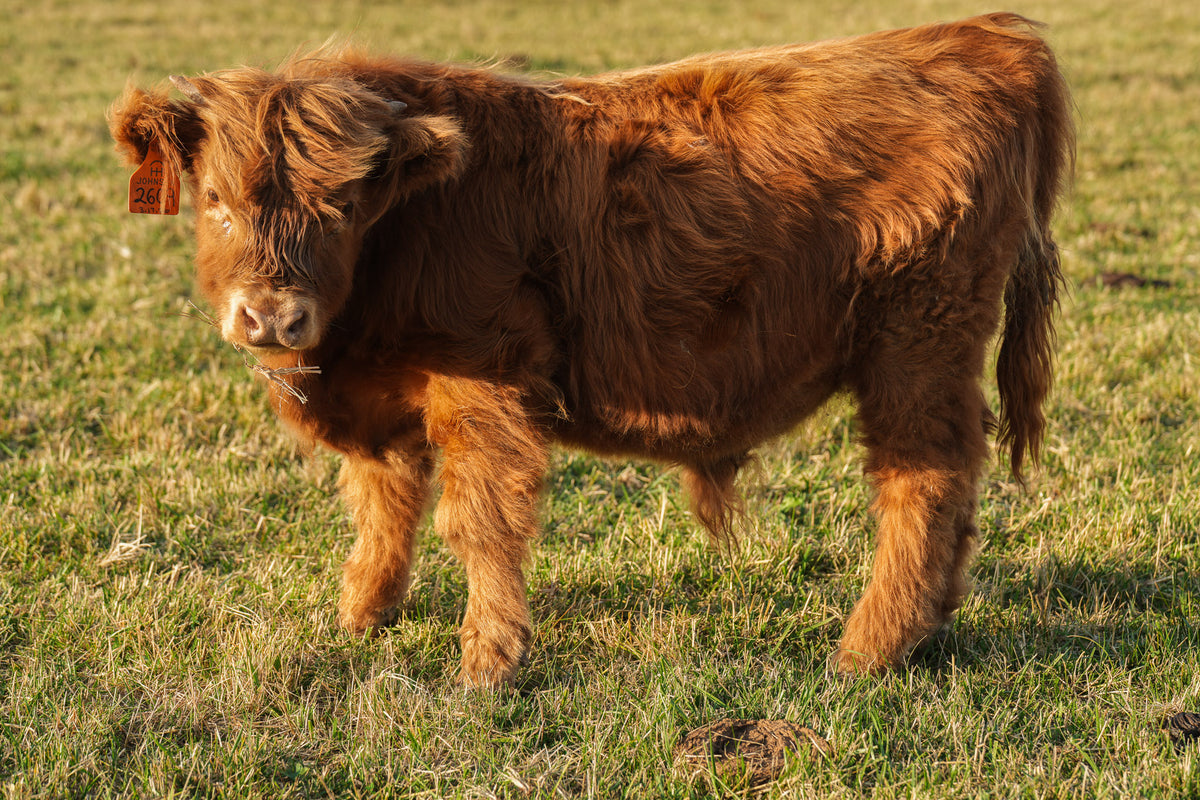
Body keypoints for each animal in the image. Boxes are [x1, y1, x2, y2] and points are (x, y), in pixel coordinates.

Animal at [111, 13, 1073, 688]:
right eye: (217, 202)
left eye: (341, 206)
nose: (272, 319)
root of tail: (981, 35)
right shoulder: (389, 404)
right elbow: (384, 507)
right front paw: (363, 614)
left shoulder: (483, 380)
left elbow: (480, 521)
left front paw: (486, 663)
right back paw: (927, 630)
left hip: (919, 344)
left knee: (923, 483)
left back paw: (869, 649)